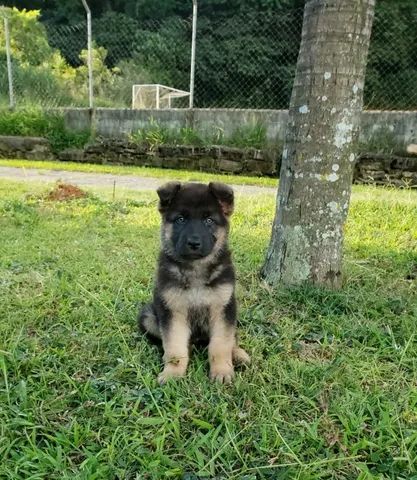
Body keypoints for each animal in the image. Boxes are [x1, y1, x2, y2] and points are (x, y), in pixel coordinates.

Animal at [140, 182, 249, 384]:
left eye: (209, 220)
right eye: (181, 219)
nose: (193, 243)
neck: (196, 268)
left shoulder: (223, 309)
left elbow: (221, 345)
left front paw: (222, 370)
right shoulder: (172, 311)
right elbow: (175, 347)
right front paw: (173, 373)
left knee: (233, 339)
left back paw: (238, 355)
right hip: (148, 316)